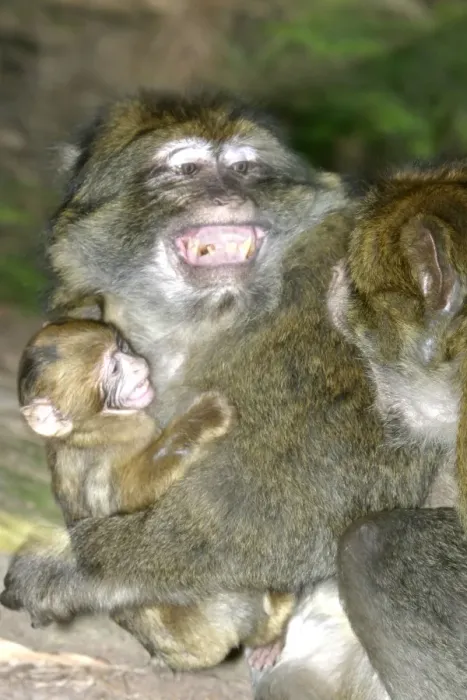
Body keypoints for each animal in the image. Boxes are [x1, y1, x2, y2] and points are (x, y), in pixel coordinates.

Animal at [17, 317, 296, 669]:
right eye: (113, 369)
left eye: (122, 347)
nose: (137, 363)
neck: (91, 429)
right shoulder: (103, 460)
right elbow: (132, 495)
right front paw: (205, 416)